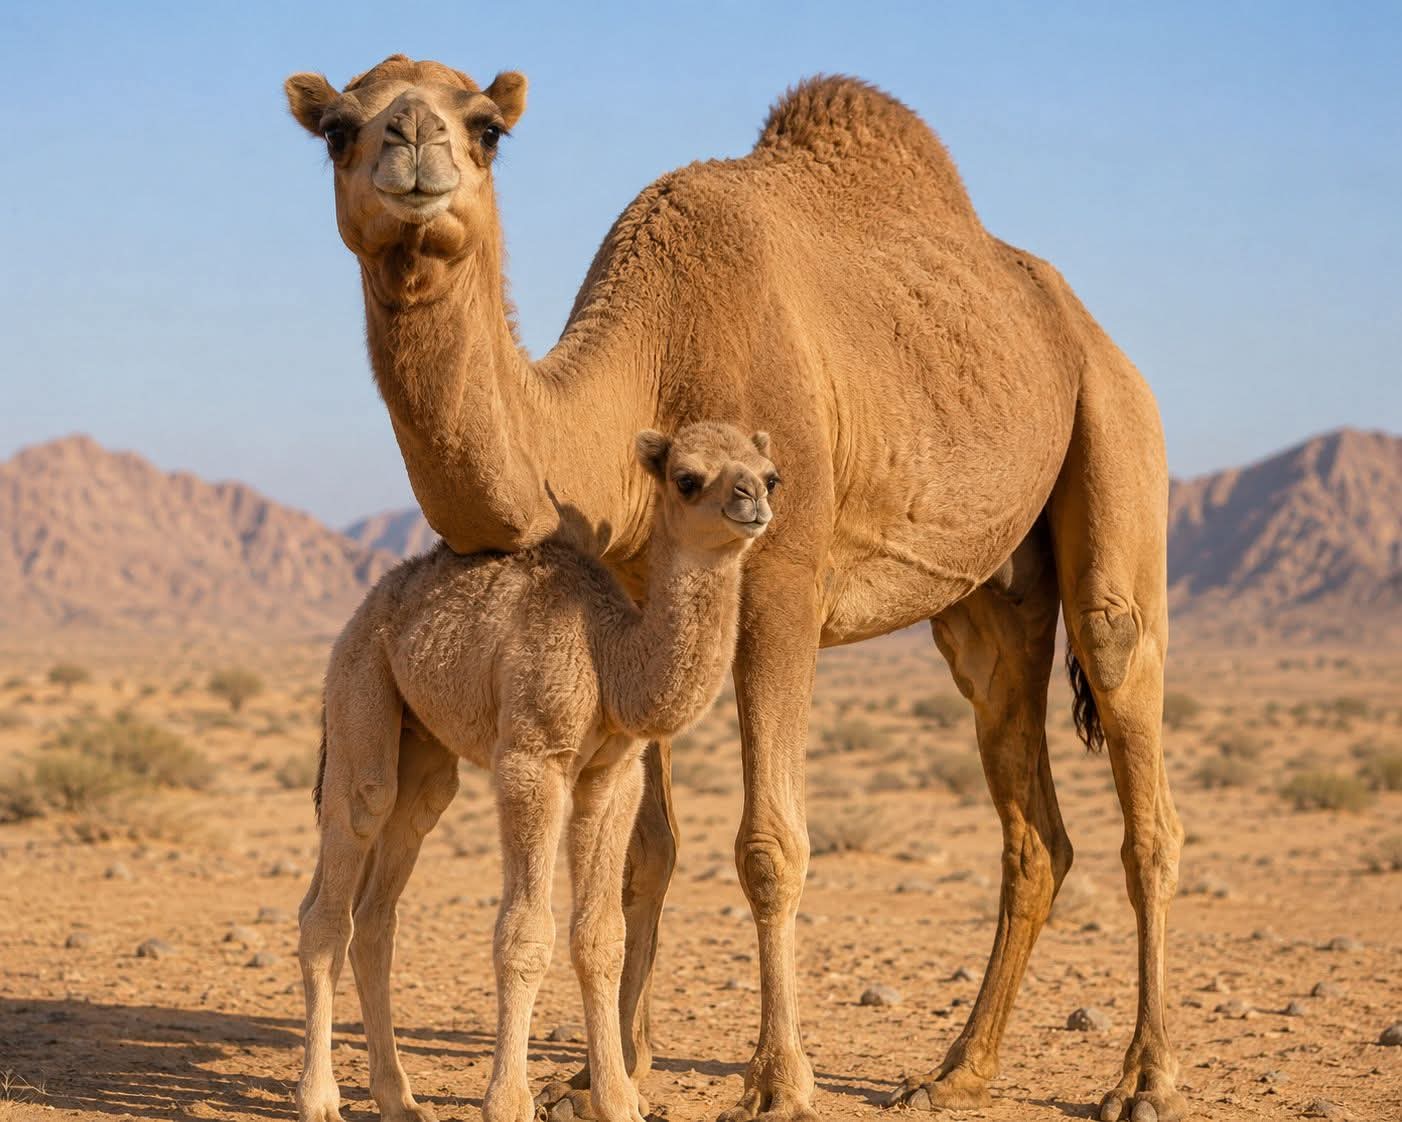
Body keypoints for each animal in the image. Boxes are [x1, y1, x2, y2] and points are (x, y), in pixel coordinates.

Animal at [298, 421, 779, 1122]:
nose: (751, 501)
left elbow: (601, 937)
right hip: (359, 684)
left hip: (424, 745)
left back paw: (400, 1099)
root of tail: (369, 605)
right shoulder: (532, 760)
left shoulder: (615, 775)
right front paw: (508, 1100)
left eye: (771, 474)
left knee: (384, 897)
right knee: (346, 856)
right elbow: (523, 934)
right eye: (687, 478)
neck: (610, 655)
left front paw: (618, 1100)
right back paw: (318, 1099)